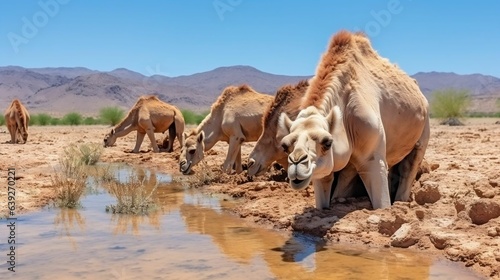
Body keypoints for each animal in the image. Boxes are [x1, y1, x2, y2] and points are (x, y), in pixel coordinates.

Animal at [278, 31, 430, 210]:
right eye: (285, 145)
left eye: (327, 142)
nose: (297, 163)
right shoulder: (324, 167)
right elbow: (325, 184)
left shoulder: (373, 157)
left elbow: (382, 202)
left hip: (423, 132)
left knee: (410, 166)